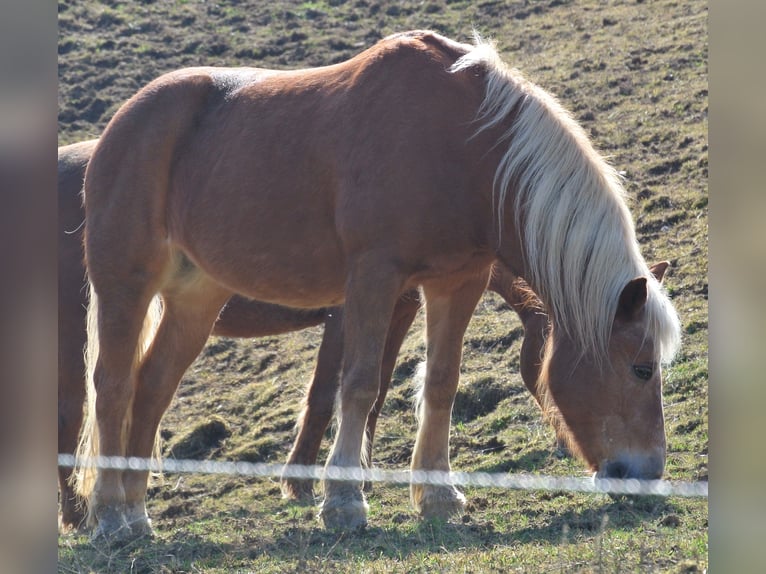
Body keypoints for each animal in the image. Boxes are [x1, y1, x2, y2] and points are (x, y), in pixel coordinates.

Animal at [57, 138, 556, 532]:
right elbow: (327, 393)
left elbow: (374, 390)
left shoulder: (399, 310)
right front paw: (305, 482)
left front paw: (358, 474)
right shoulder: (348, 312)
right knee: (74, 415)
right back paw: (80, 516)